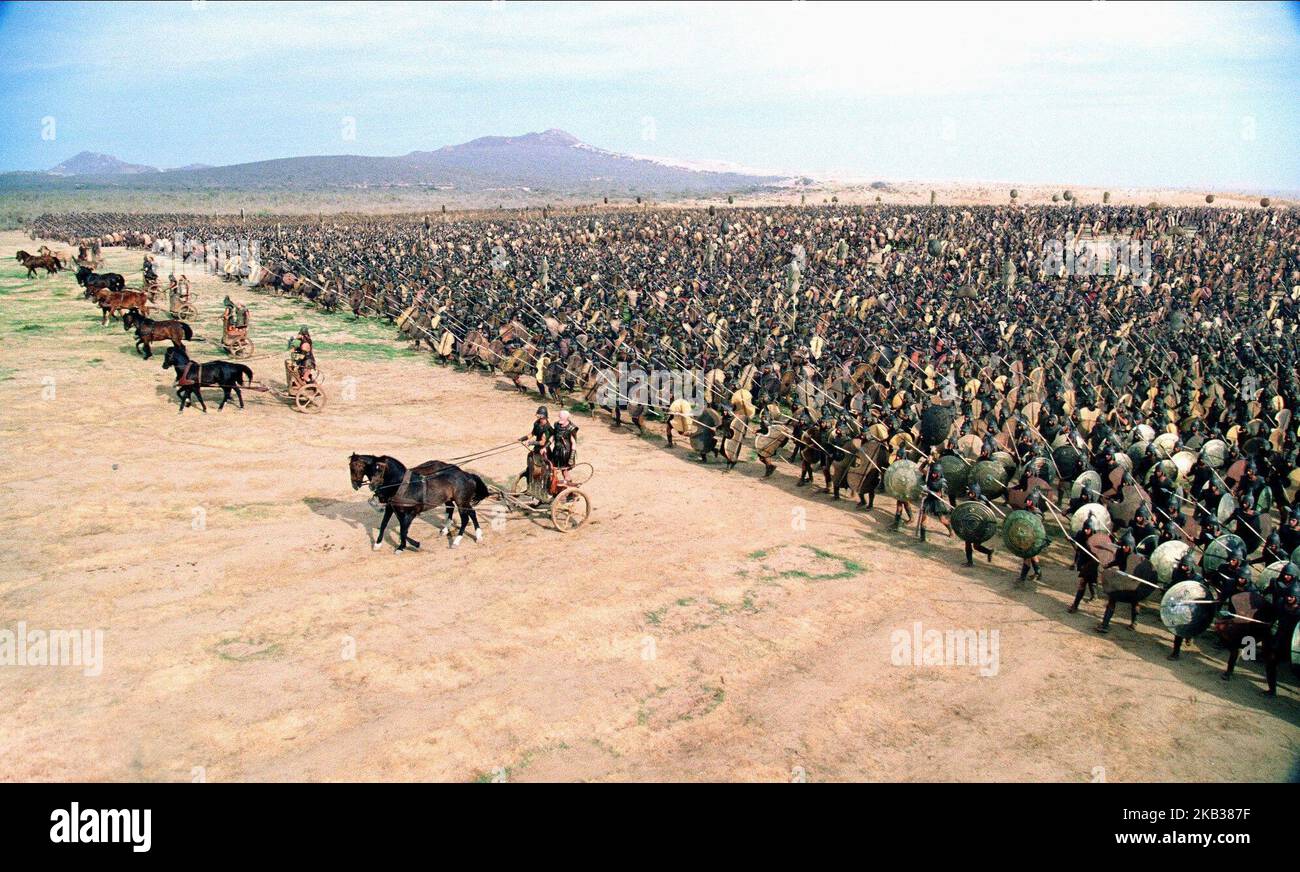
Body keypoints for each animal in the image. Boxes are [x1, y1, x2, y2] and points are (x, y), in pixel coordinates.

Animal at [345, 454, 488, 548]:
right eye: (350, 467)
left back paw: (457, 541)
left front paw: (407, 545)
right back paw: (474, 535)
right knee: (468, 512)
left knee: (465, 518)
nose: (355, 485)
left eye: (357, 466)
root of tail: (466, 474)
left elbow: (403, 529)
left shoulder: (410, 512)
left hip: (461, 502)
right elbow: (387, 524)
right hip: (458, 501)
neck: (400, 485)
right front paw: (378, 544)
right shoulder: (392, 507)